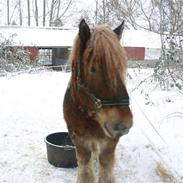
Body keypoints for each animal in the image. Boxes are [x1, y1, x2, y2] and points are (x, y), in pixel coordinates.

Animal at [63, 19, 132, 182]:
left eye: (121, 67)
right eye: (93, 68)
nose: (123, 124)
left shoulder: (110, 143)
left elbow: (106, 170)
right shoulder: (80, 140)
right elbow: (85, 172)